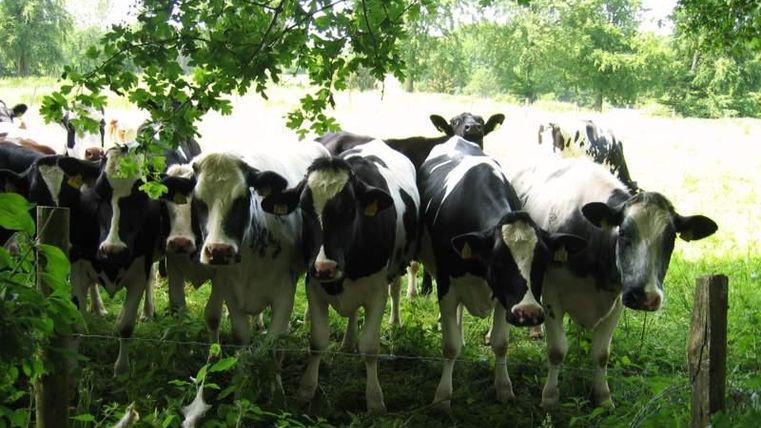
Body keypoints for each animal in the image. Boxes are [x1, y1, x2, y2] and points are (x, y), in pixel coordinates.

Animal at [259, 140, 420, 413]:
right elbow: (317, 341)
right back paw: (347, 342)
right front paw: (306, 389)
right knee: (353, 312)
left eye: (350, 210)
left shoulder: (377, 293)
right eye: (304, 209)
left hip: (397, 266)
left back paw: (395, 322)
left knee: (396, 289)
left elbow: (370, 347)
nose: (326, 267)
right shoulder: (313, 287)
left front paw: (375, 399)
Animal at [416, 136, 585, 411]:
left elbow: (500, 343)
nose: (528, 313)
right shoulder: (446, 285)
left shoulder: (504, 297)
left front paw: (504, 388)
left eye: (543, 261)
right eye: (497, 261)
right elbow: (450, 346)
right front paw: (442, 396)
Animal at [508, 157, 717, 408]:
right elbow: (557, 351)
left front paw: (603, 397)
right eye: (623, 232)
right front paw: (549, 397)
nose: (646, 296)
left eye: (670, 239)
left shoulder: (617, 301)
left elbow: (601, 354)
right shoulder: (552, 295)